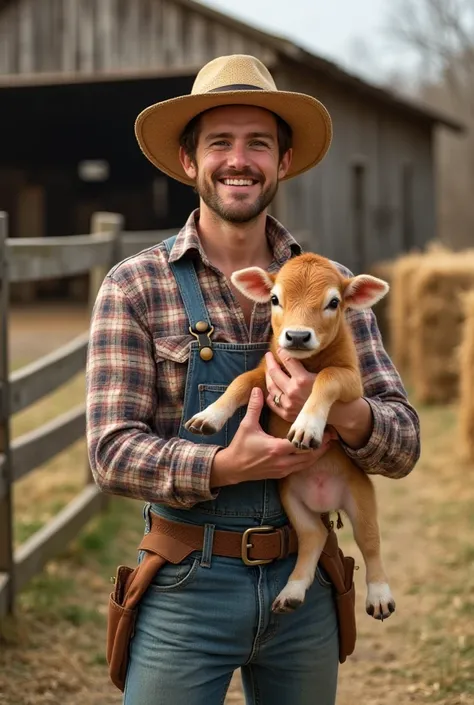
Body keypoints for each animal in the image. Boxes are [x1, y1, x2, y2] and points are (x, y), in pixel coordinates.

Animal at [185, 256, 396, 620]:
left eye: (334, 302)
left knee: (370, 542)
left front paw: (306, 427)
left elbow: (327, 377)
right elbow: (241, 381)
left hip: (361, 496)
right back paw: (292, 593)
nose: (297, 336)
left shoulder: (352, 380)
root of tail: (326, 499)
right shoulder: (266, 369)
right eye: (274, 299)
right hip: (293, 499)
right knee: (313, 536)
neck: (306, 362)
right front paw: (209, 416)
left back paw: (380, 596)